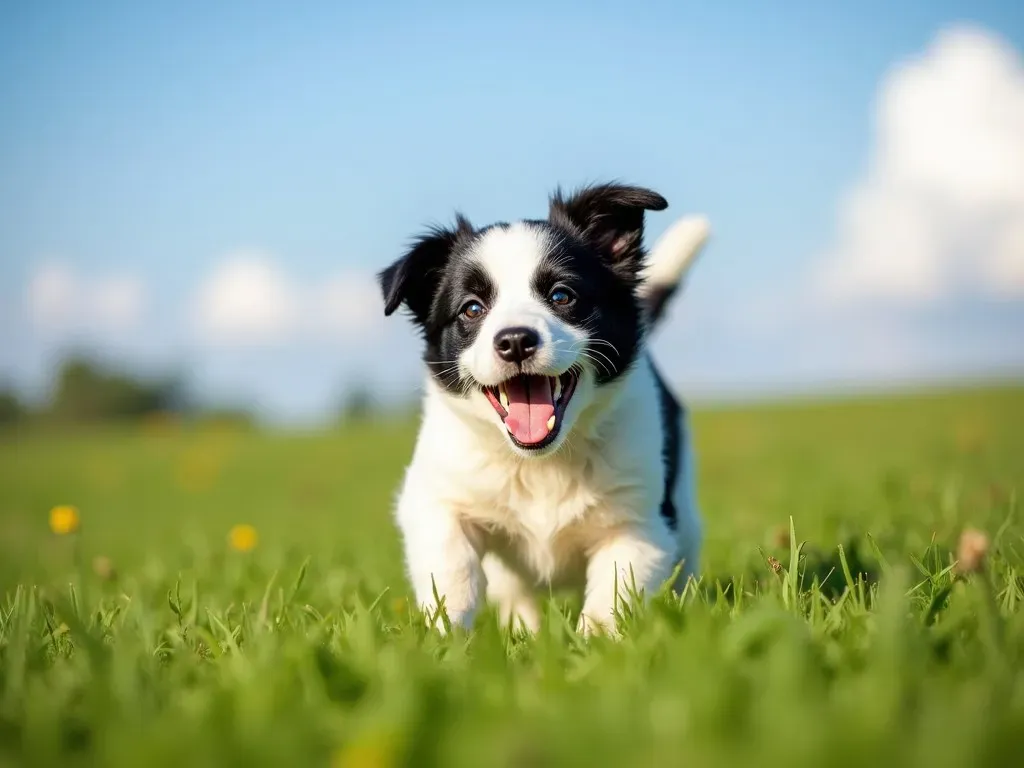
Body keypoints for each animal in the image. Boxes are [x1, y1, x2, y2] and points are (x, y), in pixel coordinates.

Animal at [378, 182, 712, 638]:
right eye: (472, 308)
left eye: (561, 296)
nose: (515, 340)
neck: (541, 464)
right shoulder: (437, 497)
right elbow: (452, 570)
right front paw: (447, 640)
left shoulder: (638, 522)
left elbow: (613, 595)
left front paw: (595, 646)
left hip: (684, 513)